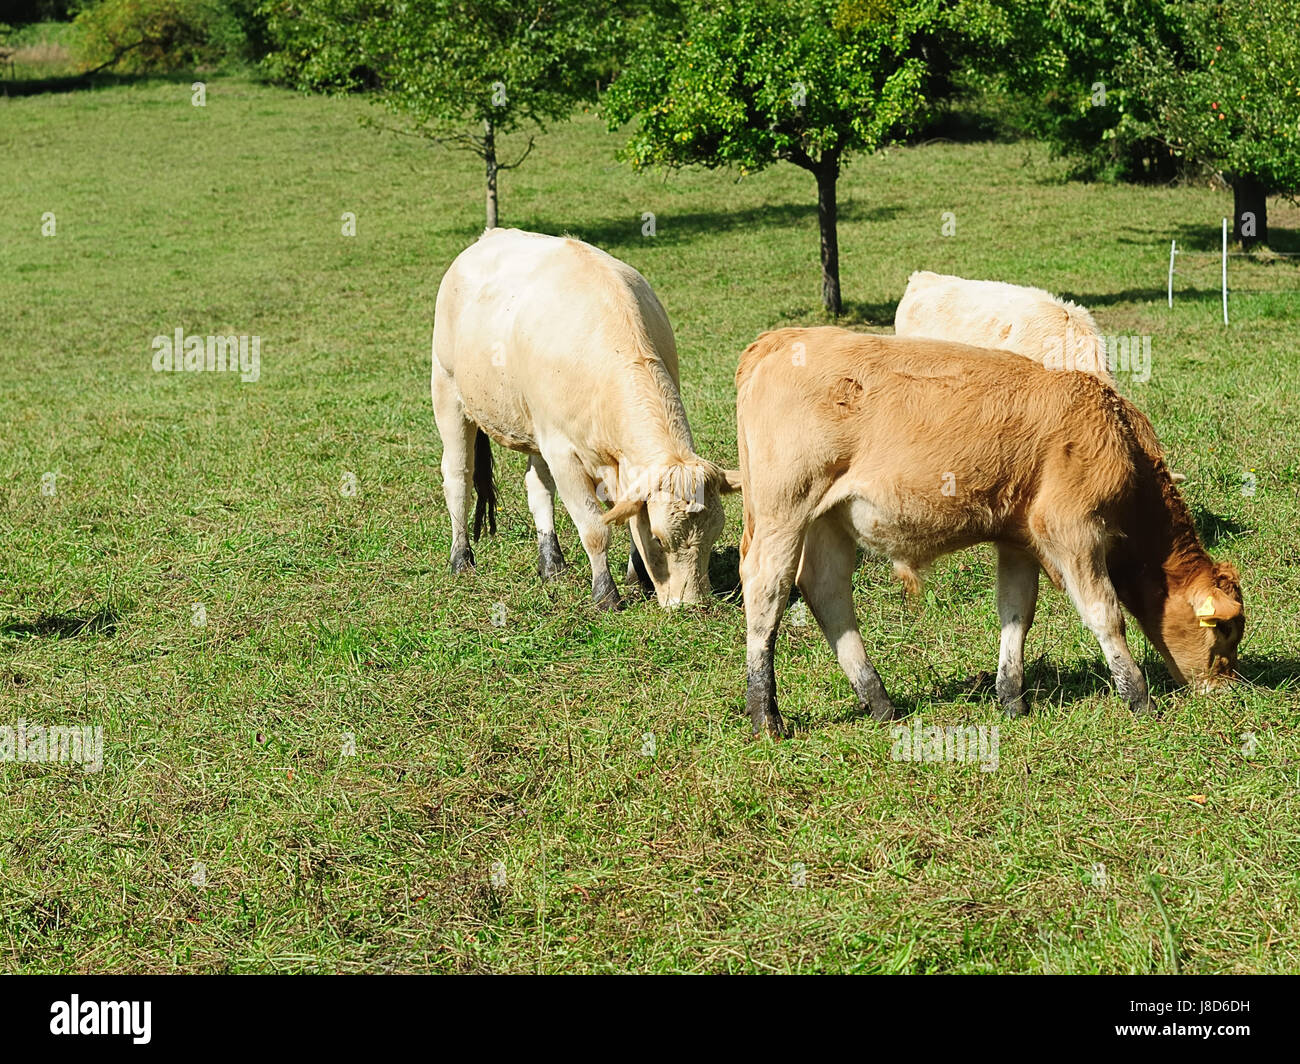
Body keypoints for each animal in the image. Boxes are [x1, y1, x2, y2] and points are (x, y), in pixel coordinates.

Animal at [431, 228, 740, 609]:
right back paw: (461, 560)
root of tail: (491, 234)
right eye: (659, 538)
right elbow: (595, 528)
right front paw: (606, 594)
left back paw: (551, 563)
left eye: (714, 535)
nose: (692, 605)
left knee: (537, 488)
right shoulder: (564, 454)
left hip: (534, 426)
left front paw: (638, 578)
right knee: (458, 476)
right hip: (447, 391)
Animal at [735, 327, 1244, 737]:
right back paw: (766, 715)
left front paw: (1012, 698)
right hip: (785, 511)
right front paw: (1139, 698)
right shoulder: (1072, 531)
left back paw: (878, 701)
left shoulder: (1018, 539)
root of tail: (778, 339)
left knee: (827, 591)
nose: (1227, 690)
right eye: (1225, 634)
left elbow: (1016, 614)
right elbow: (1105, 614)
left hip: (828, 519)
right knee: (767, 591)